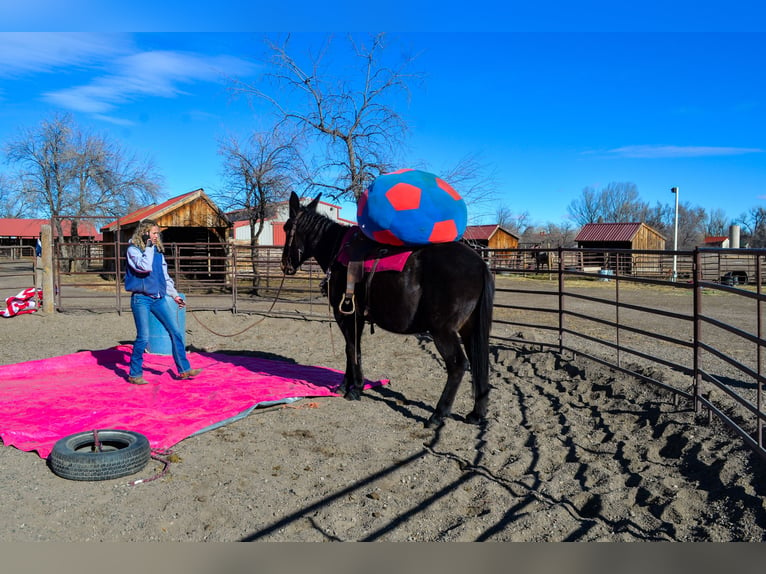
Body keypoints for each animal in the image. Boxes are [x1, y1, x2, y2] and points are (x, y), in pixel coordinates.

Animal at [282, 192, 498, 428]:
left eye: (286, 227)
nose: (285, 265)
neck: (338, 251)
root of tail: (480, 264)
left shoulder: (346, 315)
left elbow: (351, 349)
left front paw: (354, 389)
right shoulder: (357, 318)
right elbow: (352, 349)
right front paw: (346, 386)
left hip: (443, 331)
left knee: (458, 365)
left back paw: (437, 415)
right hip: (469, 329)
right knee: (478, 363)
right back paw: (476, 413)